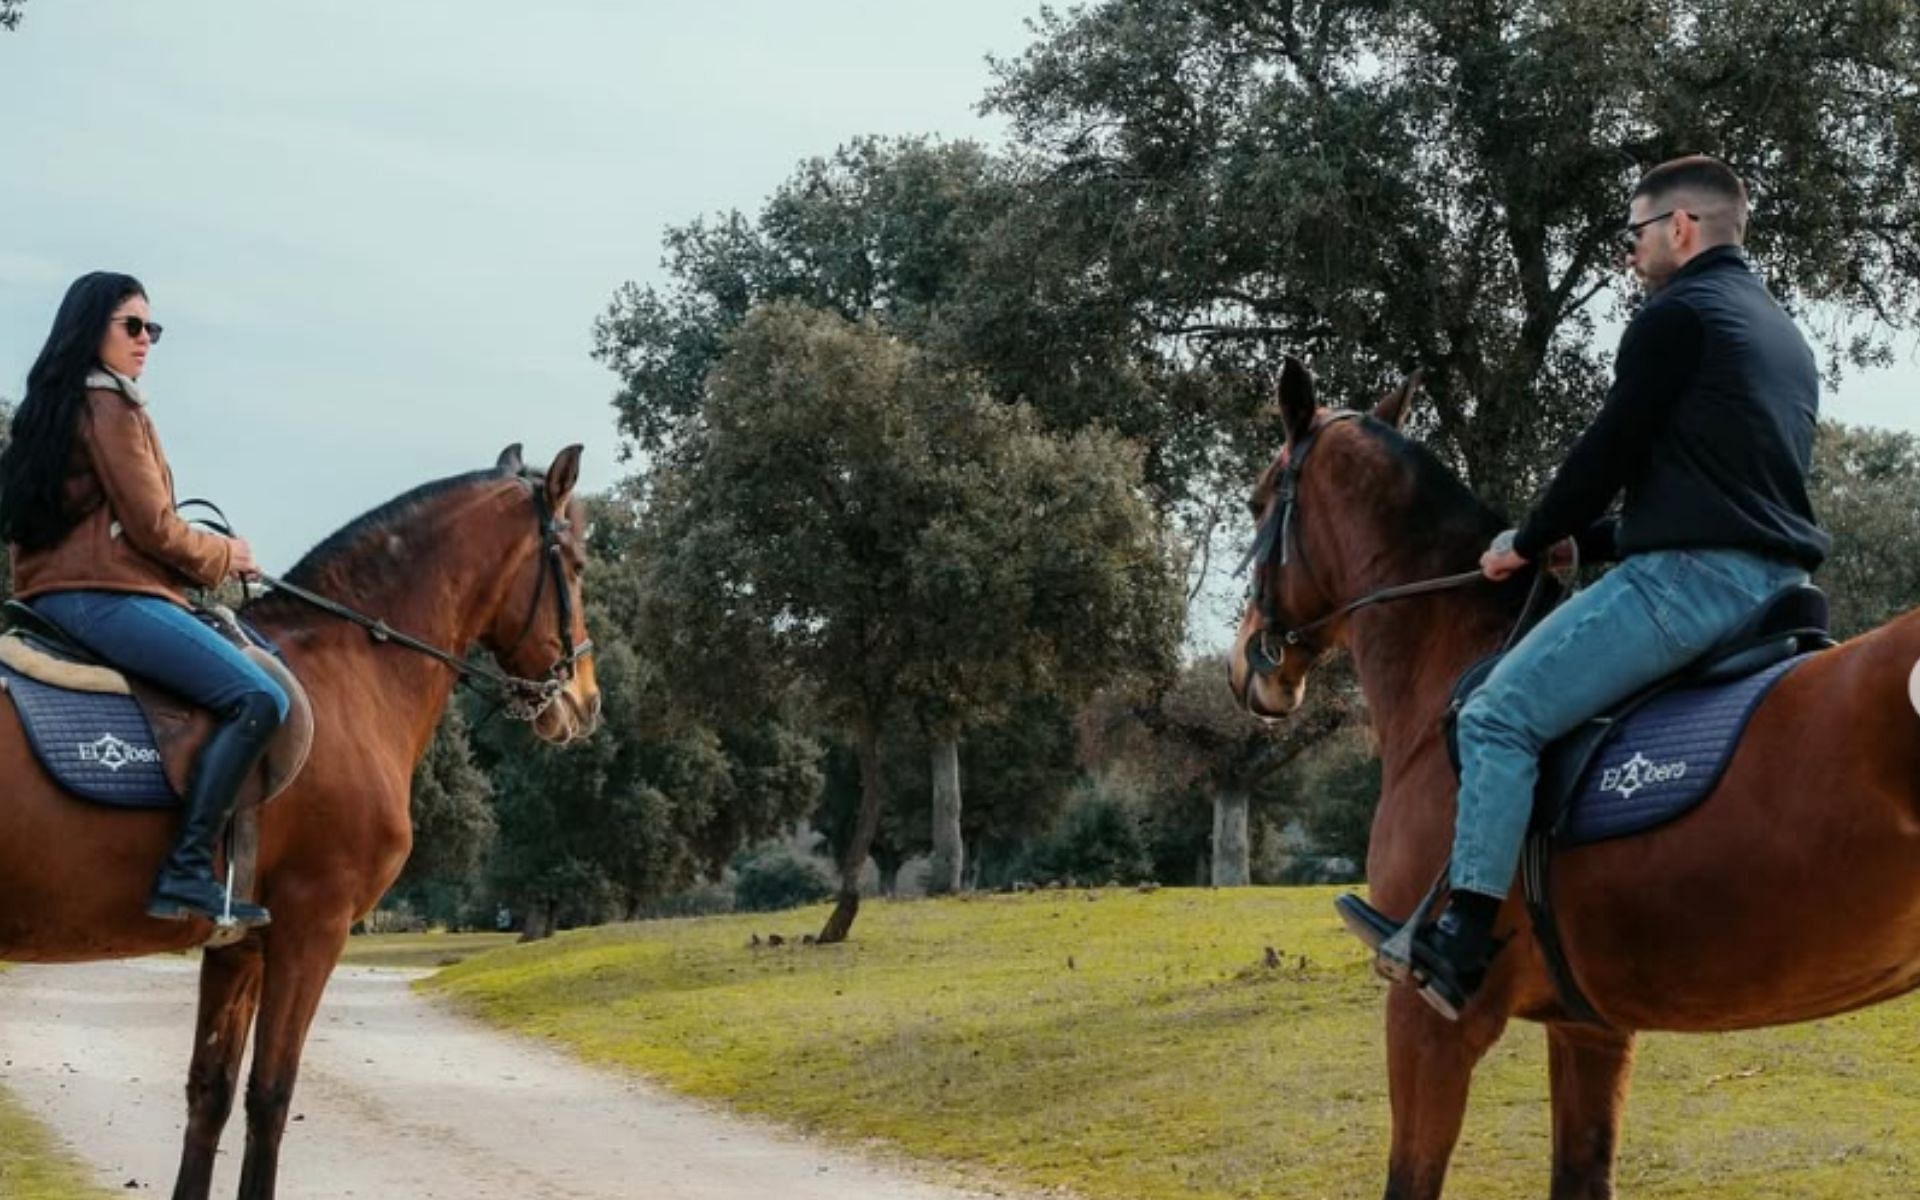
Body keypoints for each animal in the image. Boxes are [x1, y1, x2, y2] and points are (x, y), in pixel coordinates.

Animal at [0, 445, 599, 1198]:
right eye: (574, 565)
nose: (586, 700)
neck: (351, 670)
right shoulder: (313, 927)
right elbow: (271, 1096)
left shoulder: (240, 947)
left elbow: (211, 1093)